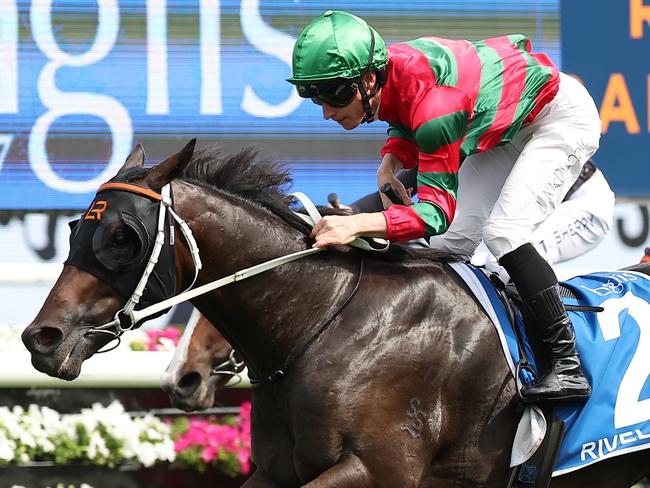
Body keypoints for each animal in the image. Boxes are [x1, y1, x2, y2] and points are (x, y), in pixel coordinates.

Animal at [21, 140, 648, 484]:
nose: (41, 338)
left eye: (122, 238)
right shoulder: (275, 472)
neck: (326, 321)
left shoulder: (377, 470)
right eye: (76, 229)